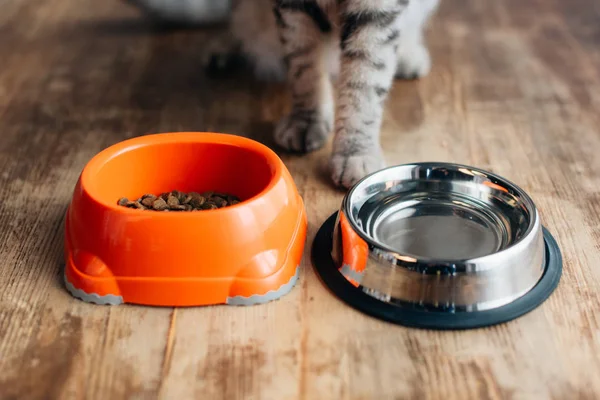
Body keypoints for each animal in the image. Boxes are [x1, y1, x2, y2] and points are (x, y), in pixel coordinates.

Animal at [124, 0, 438, 188]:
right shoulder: (294, 10)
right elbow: (304, 67)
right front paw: (307, 120)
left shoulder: (377, 10)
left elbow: (365, 80)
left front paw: (355, 150)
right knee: (238, 22)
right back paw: (225, 47)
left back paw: (410, 55)